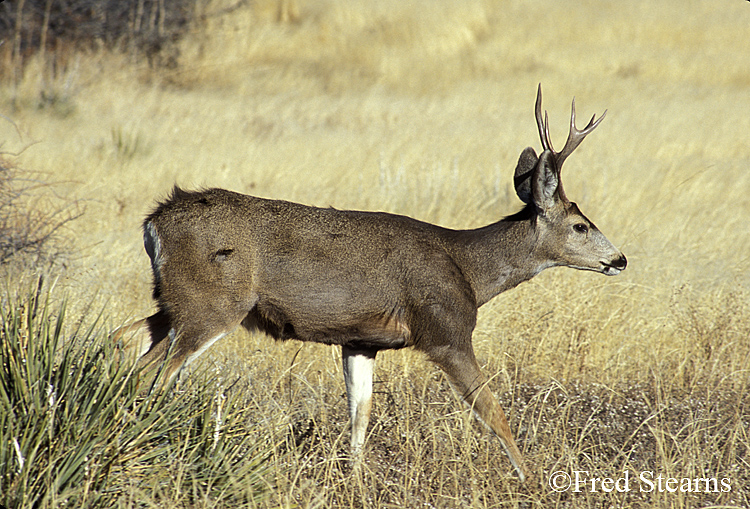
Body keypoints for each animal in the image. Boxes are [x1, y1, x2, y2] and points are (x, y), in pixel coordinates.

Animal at [113, 85, 628, 482]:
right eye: (581, 225)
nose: (620, 259)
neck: (467, 268)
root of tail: (154, 221)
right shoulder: (445, 332)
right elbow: (492, 411)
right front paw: (532, 480)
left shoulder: (361, 340)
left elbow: (359, 416)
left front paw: (356, 480)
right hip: (214, 304)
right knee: (150, 371)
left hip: (177, 301)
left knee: (124, 338)